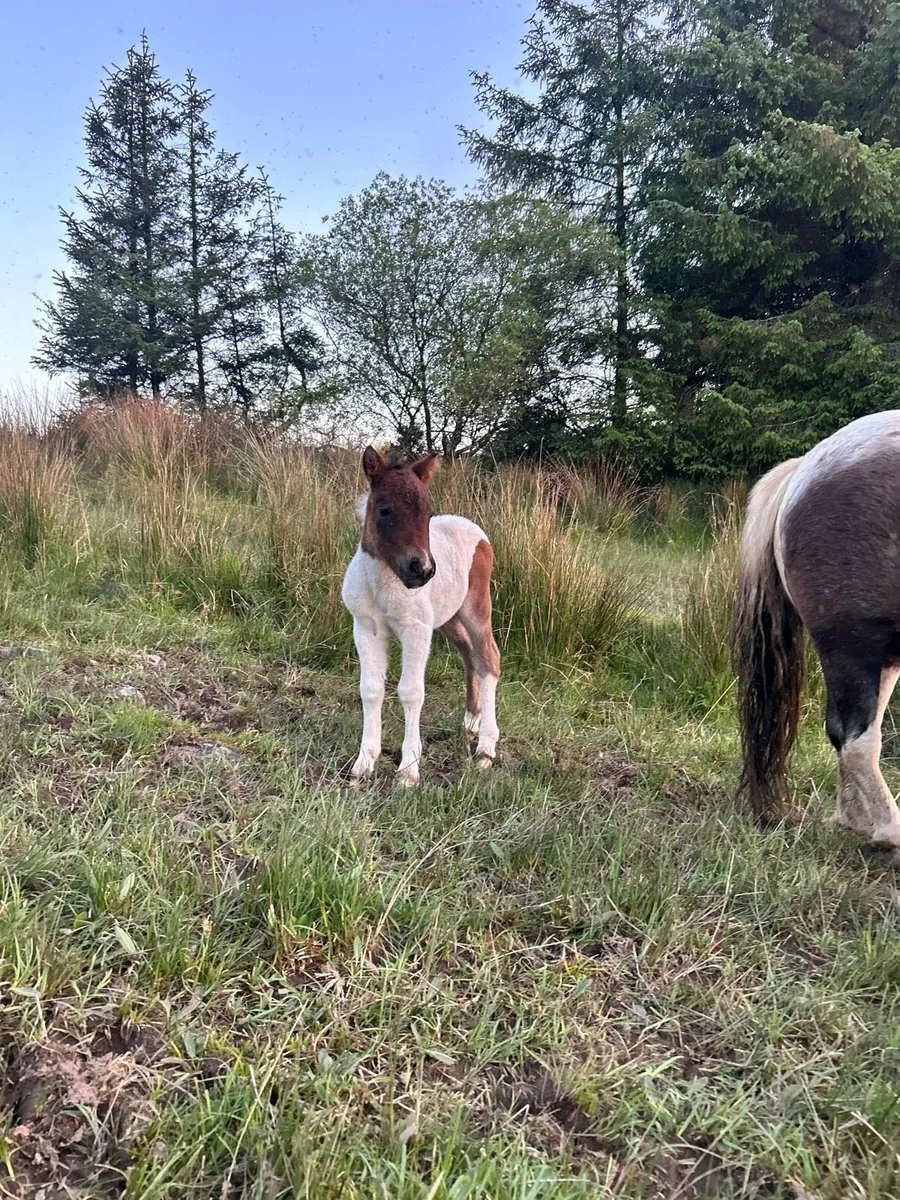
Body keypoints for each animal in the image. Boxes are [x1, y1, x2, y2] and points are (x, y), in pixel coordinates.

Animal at [341, 446, 501, 786]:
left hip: (476, 608)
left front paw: (408, 770)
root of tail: (478, 533)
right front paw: (364, 762)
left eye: (428, 512)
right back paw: (472, 719)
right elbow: (370, 689)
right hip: (448, 617)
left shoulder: (416, 630)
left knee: (488, 659)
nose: (423, 570)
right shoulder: (365, 628)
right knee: (468, 653)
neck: (384, 584)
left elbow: (411, 692)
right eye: (384, 510)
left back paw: (485, 748)